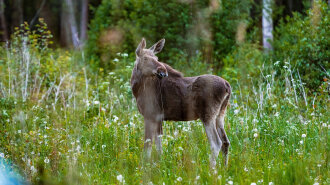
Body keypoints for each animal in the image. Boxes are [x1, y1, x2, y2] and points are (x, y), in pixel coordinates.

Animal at [130, 38, 231, 167]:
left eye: (156, 58)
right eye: (145, 58)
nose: (162, 71)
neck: (137, 89)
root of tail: (227, 86)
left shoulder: (150, 115)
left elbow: (147, 145)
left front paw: (145, 166)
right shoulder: (158, 118)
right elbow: (159, 145)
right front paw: (159, 165)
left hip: (207, 115)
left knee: (216, 143)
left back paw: (211, 169)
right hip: (220, 115)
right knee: (226, 142)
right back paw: (225, 168)